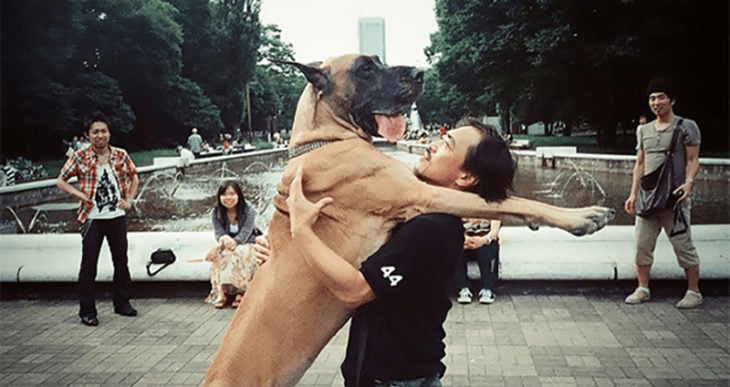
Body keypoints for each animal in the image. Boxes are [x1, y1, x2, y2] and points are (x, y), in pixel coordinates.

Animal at [202, 53, 612, 386]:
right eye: (366, 68)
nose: (420, 72)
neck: (324, 141)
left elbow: (497, 200)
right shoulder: (420, 194)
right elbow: (506, 201)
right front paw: (582, 216)